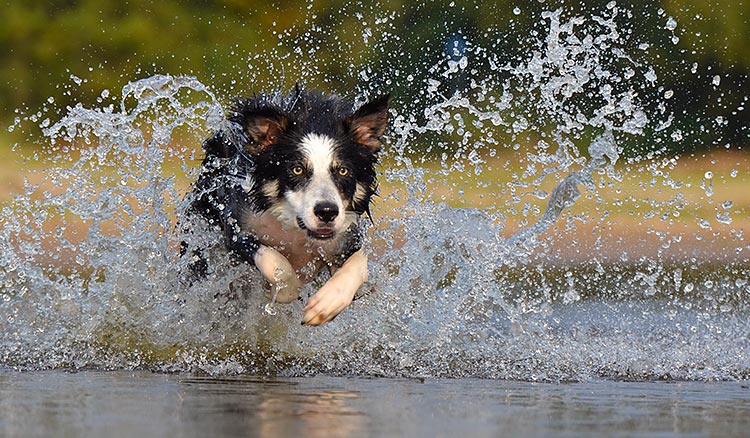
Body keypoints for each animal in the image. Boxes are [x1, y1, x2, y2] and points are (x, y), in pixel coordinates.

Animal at [185, 87, 390, 326]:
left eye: (343, 170)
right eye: (297, 169)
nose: (327, 212)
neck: (295, 229)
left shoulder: (346, 236)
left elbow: (359, 263)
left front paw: (327, 303)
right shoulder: (237, 227)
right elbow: (275, 261)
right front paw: (286, 289)